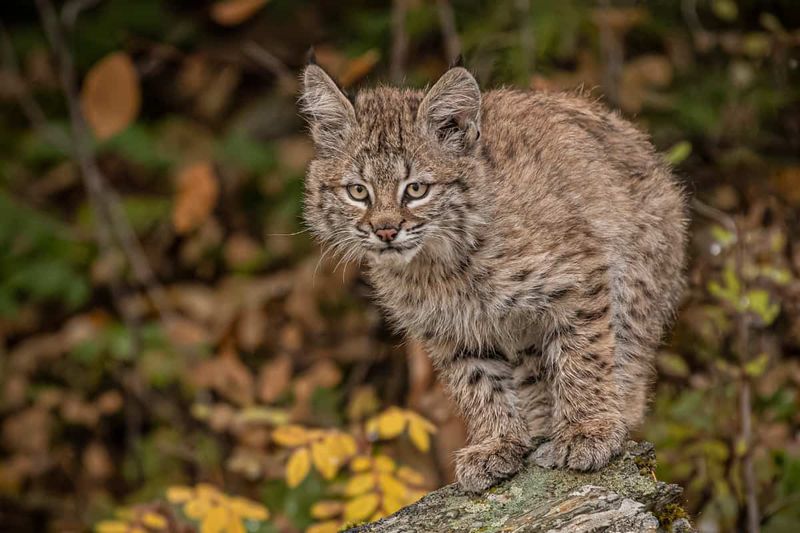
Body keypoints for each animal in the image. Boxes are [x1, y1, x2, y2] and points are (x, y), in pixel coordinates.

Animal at [300, 62, 688, 490]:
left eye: (416, 189)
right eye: (357, 192)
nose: (385, 231)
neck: (436, 266)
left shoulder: (579, 275)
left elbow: (582, 356)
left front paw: (587, 429)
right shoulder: (452, 330)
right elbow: (477, 384)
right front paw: (497, 443)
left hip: (638, 279)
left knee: (625, 364)